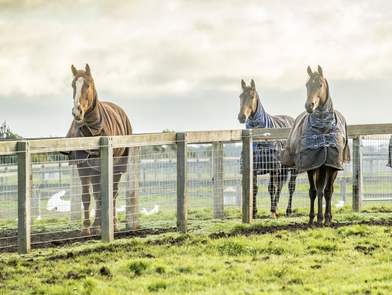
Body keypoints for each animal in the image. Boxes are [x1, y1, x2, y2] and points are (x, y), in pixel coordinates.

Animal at [239, 80, 298, 219]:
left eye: (252, 96)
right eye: (240, 97)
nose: (241, 117)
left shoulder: (273, 168)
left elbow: (271, 188)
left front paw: (272, 212)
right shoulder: (254, 168)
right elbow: (254, 188)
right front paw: (254, 212)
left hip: (292, 169)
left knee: (290, 186)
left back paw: (287, 210)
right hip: (283, 169)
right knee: (280, 186)